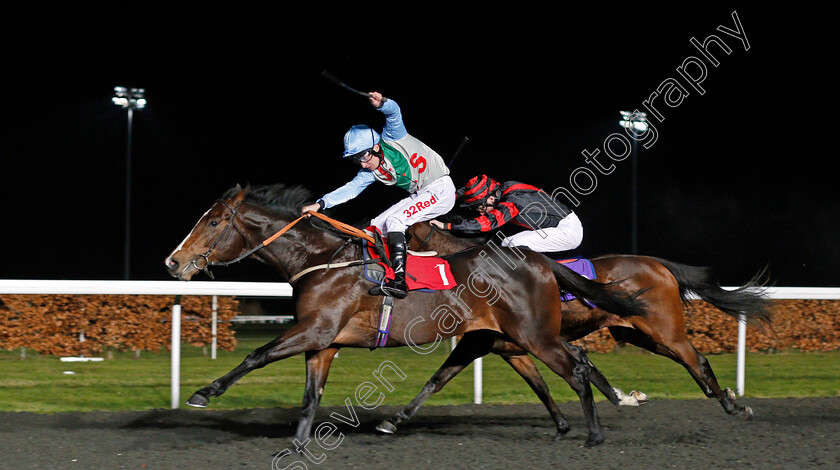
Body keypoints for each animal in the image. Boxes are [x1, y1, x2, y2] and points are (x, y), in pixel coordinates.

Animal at [164, 185, 648, 448]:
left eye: (212, 222)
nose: (173, 263)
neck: (320, 260)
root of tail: (538, 259)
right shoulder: (323, 341)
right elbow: (310, 396)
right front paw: (299, 443)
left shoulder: (314, 329)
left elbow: (257, 355)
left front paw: (204, 393)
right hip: (503, 335)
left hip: (534, 334)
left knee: (575, 368)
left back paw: (593, 434)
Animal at [378, 222, 772, 436]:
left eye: (400, 239)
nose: (386, 272)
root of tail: (657, 264)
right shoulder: (508, 345)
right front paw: (626, 397)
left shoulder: (516, 340)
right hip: (635, 332)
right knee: (690, 361)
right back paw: (729, 398)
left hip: (665, 330)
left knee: (697, 360)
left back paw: (734, 406)